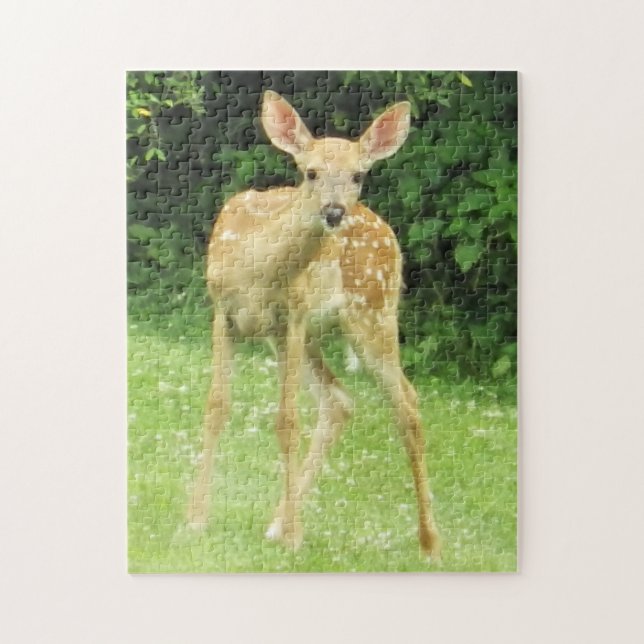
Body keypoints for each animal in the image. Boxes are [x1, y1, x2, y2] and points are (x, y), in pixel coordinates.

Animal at [185, 90, 442, 559]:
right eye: (311, 172)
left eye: (358, 174)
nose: (334, 211)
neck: (258, 268)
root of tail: (388, 233)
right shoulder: (224, 313)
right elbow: (216, 408)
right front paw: (195, 519)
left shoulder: (294, 314)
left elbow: (287, 423)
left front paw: (294, 536)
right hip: (304, 339)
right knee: (339, 401)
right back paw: (276, 521)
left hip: (372, 313)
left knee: (407, 404)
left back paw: (430, 541)